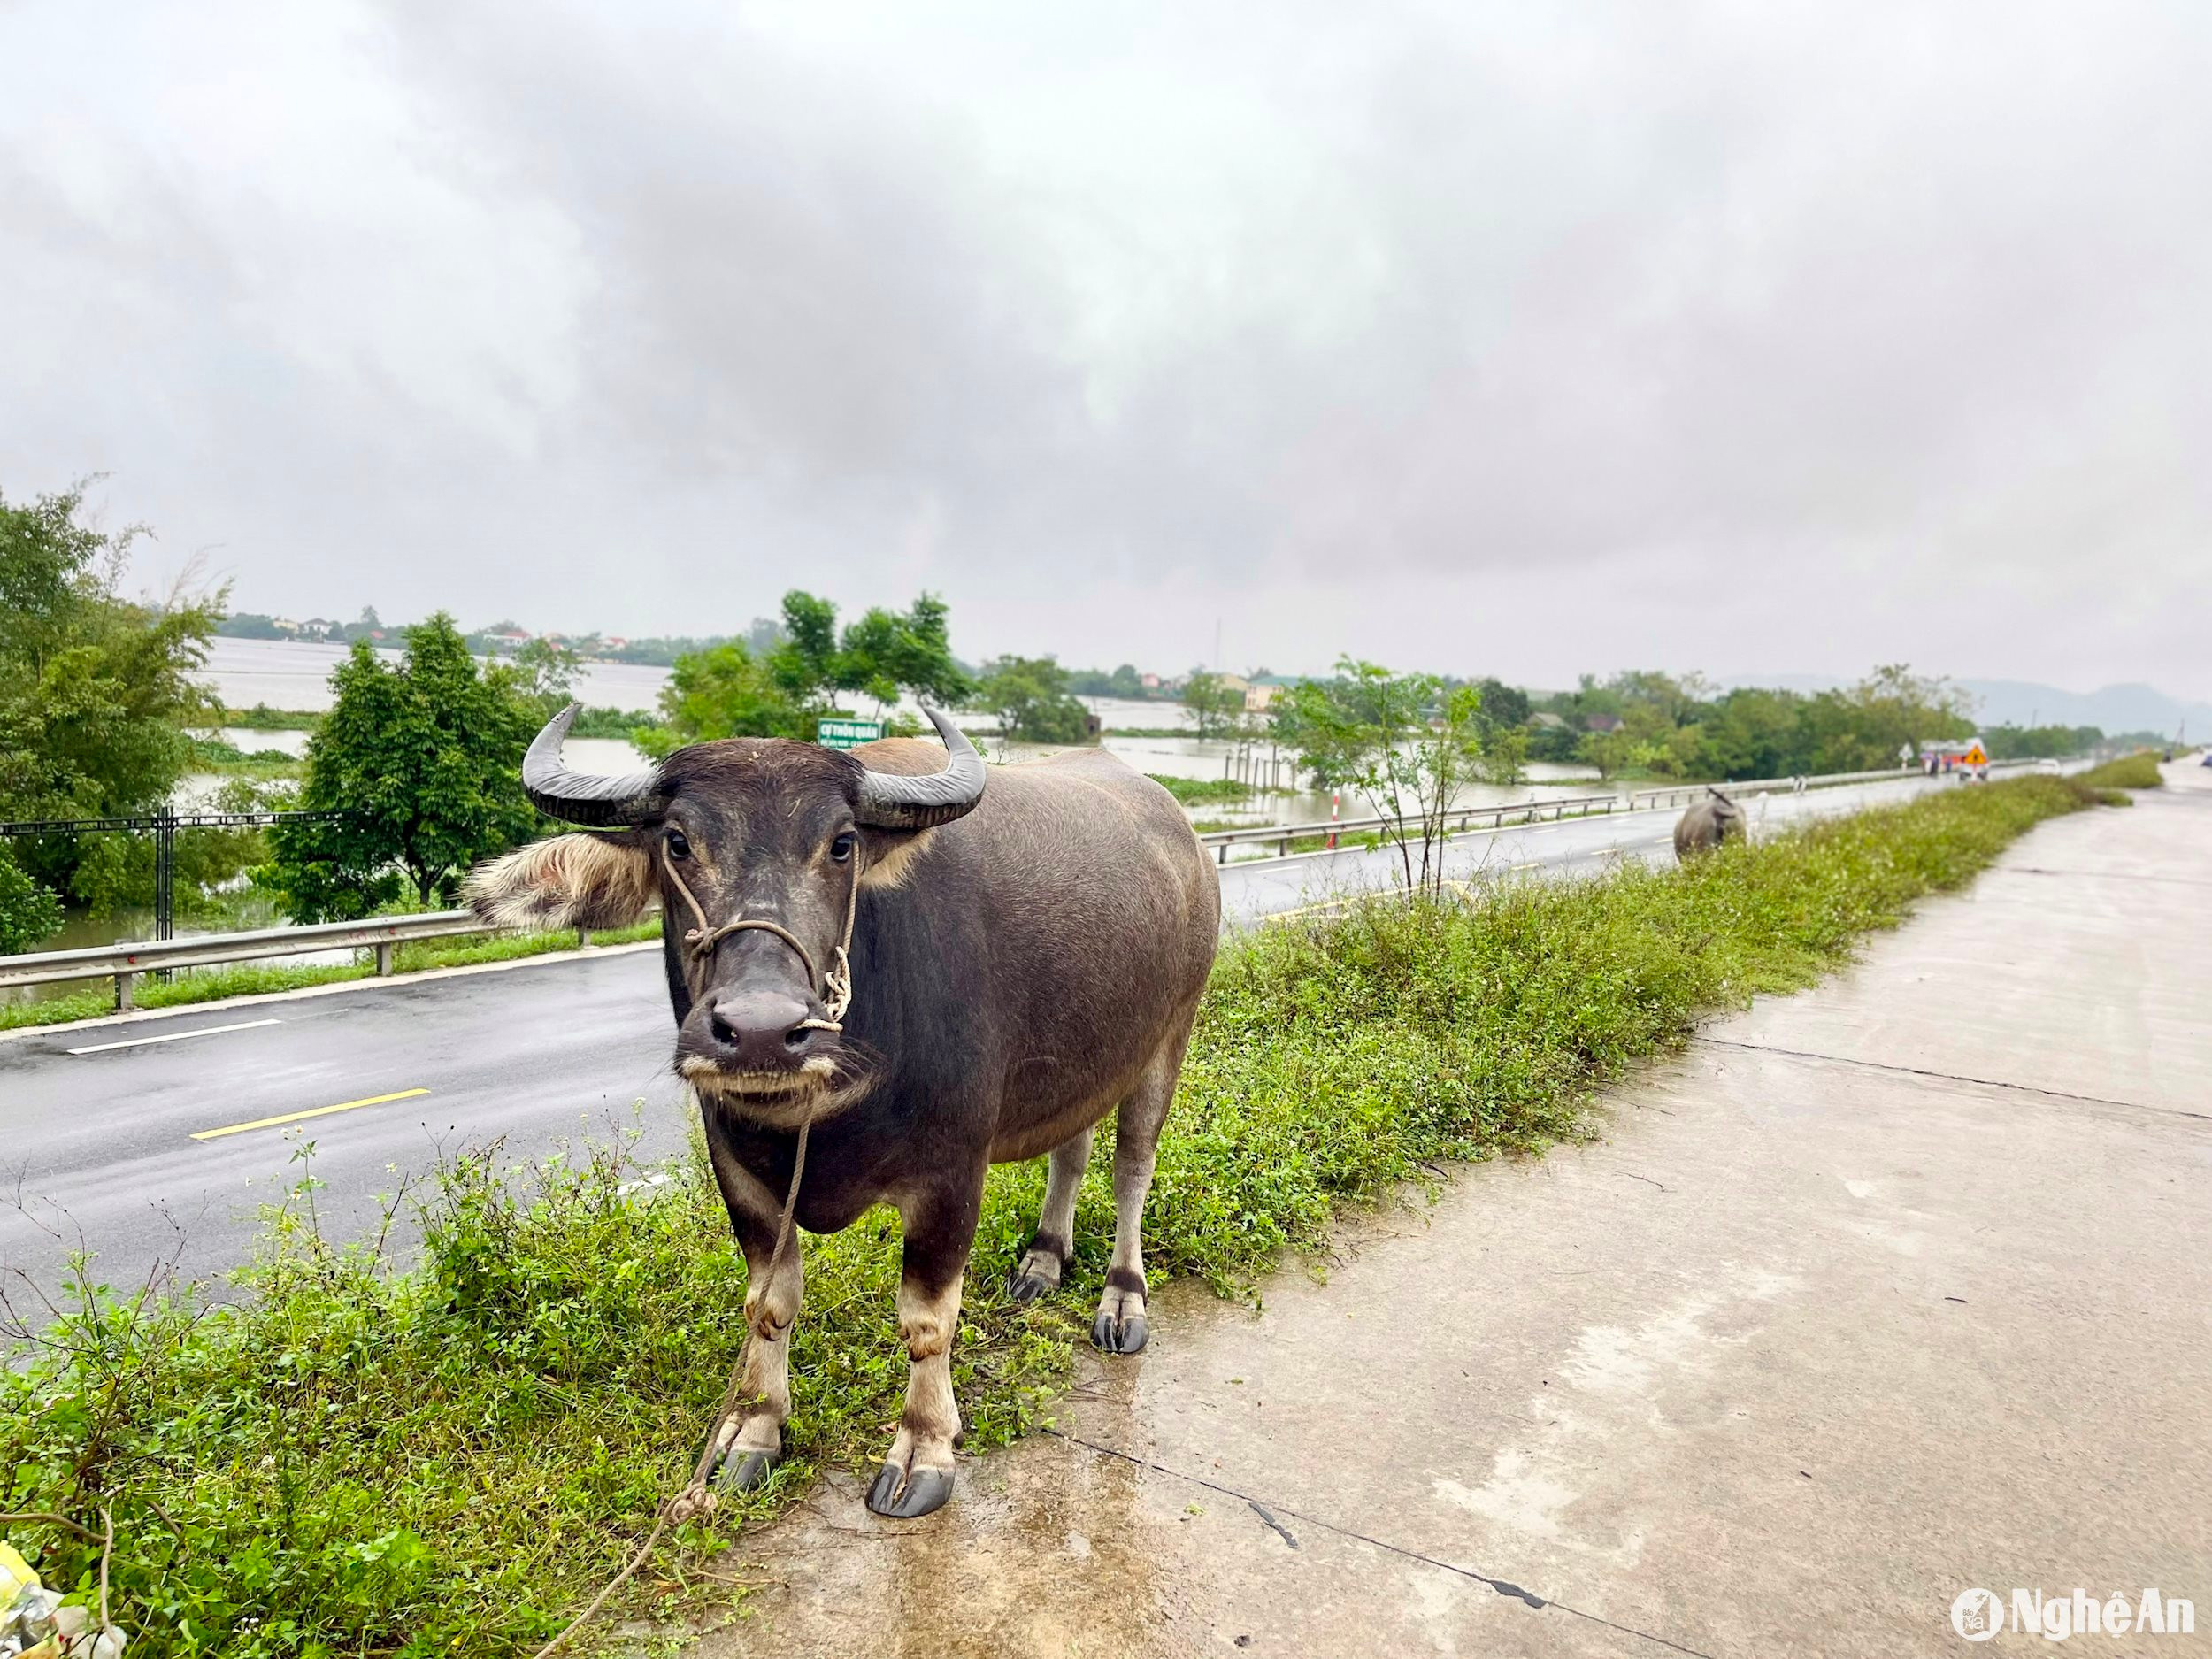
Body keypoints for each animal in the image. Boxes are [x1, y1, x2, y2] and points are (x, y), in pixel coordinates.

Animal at [466, 703, 1221, 1522]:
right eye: (677, 841)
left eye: (841, 844)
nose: (761, 1030)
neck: (822, 1107)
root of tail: (1189, 841)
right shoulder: (739, 1169)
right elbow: (768, 1303)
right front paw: (754, 1430)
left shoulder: (953, 1175)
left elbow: (927, 1320)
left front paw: (924, 1447)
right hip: (1087, 1058)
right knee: (1072, 1148)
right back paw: (1044, 1258)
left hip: (1169, 1035)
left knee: (1132, 1167)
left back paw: (1122, 1299)